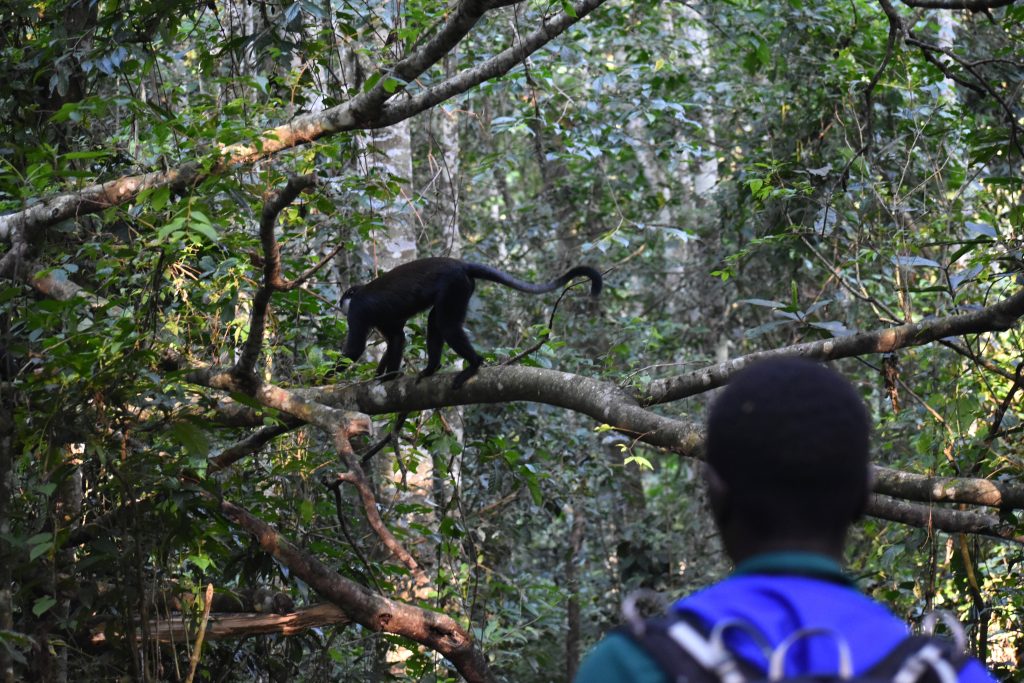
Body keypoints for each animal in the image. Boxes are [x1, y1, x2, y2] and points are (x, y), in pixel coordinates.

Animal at [339, 257, 602, 389]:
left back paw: (474, 364)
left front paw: (329, 378)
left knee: (445, 324)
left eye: (343, 300)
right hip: (463, 287)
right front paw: (385, 376)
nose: (340, 305)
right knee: (435, 322)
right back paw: (432, 368)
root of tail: (459, 264)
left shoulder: (358, 311)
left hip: (454, 285)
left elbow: (355, 349)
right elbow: (396, 338)